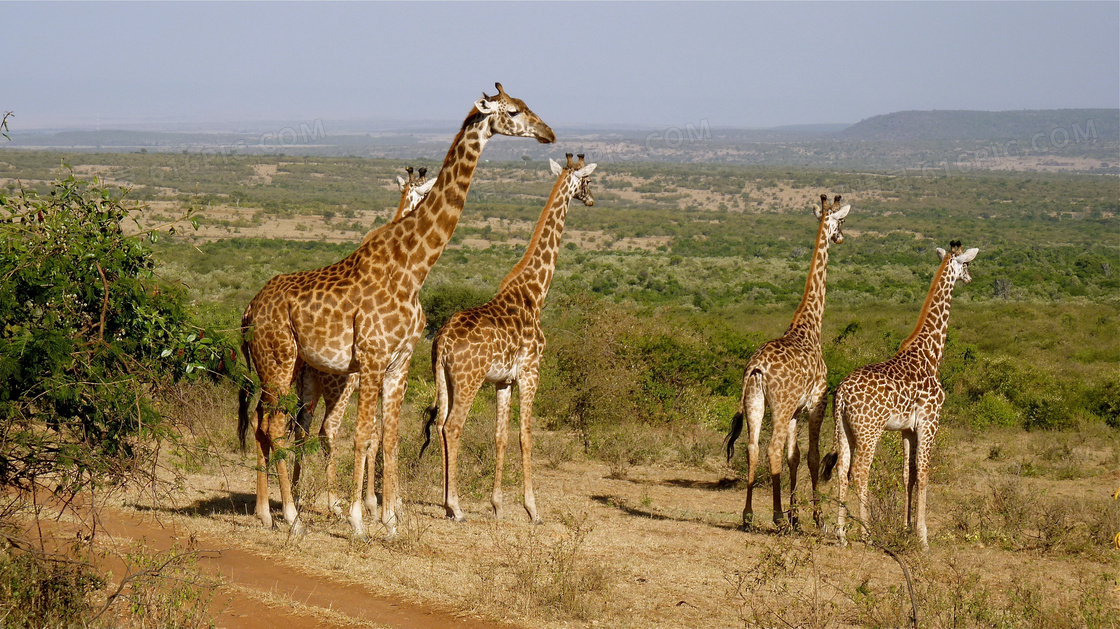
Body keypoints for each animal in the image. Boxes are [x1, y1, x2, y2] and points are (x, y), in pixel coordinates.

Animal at [288, 164, 436, 517]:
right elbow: (376, 435)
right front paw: (378, 503)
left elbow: (376, 434)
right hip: (340, 384)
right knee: (327, 431)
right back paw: (333, 503)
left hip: (307, 382)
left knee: (301, 427)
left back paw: (298, 495)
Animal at [418, 151, 595, 519]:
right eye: (587, 180)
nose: (591, 199)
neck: (534, 292)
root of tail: (441, 341)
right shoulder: (531, 371)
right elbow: (526, 435)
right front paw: (532, 509)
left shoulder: (503, 381)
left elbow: (500, 435)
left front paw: (498, 505)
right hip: (469, 379)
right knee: (452, 427)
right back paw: (456, 506)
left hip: (443, 378)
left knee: (439, 424)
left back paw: (446, 503)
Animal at [725, 193, 846, 526]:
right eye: (842, 220)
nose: (841, 237)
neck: (810, 324)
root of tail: (756, 368)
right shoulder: (816, 403)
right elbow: (811, 456)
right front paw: (815, 517)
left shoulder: (795, 411)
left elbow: (795, 456)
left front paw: (796, 516)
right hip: (778, 405)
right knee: (771, 449)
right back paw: (776, 516)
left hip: (755, 401)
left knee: (752, 447)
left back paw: (749, 514)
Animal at [824, 237, 981, 546]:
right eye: (967, 263)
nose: (970, 278)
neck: (931, 354)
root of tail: (842, 394)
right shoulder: (931, 421)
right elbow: (924, 473)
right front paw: (922, 537)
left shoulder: (908, 429)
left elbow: (908, 474)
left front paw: (906, 528)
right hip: (869, 430)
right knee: (860, 471)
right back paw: (866, 532)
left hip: (843, 429)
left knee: (842, 470)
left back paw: (841, 533)